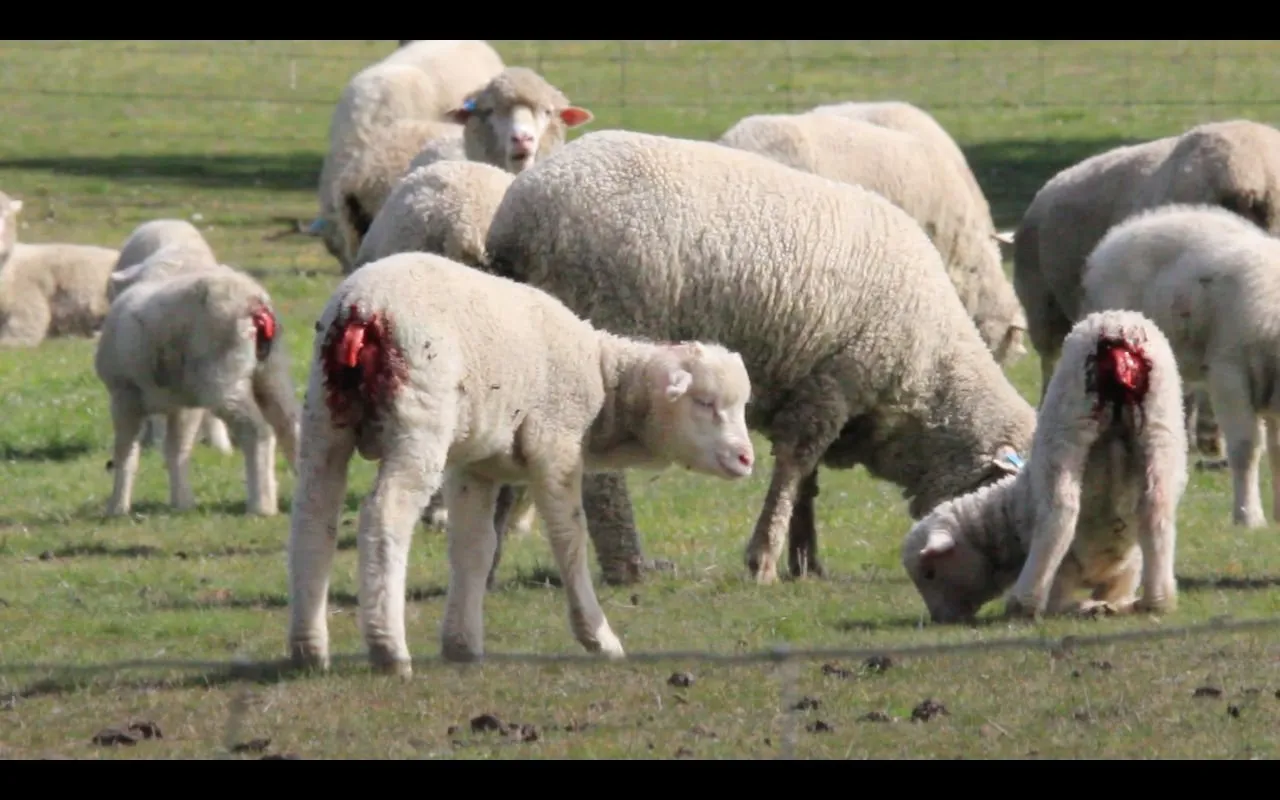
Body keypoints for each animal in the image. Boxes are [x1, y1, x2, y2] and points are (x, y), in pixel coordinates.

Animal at [94, 264, 301, 517]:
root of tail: (254, 299)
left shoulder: (124, 396)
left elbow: (126, 454)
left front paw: (117, 506)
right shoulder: (183, 405)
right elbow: (177, 450)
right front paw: (182, 502)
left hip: (222, 377)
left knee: (257, 431)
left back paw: (261, 504)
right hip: (271, 369)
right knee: (289, 425)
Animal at [285, 251, 756, 675]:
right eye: (704, 402)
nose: (746, 458)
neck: (603, 378)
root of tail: (362, 310)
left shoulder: (476, 466)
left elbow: (474, 547)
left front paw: (462, 644)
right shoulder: (556, 446)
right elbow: (569, 538)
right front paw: (598, 637)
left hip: (324, 417)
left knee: (313, 517)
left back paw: (309, 650)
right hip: (418, 420)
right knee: (385, 517)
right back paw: (388, 649)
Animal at [902, 309, 1186, 623]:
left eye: (930, 573)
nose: (941, 619)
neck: (1010, 516)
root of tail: (1116, 327)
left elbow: (1063, 600)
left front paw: (1087, 607)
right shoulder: (1127, 568)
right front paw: (1112, 606)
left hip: (1067, 417)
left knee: (1060, 512)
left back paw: (1025, 602)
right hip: (1161, 420)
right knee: (1157, 507)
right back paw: (1157, 601)